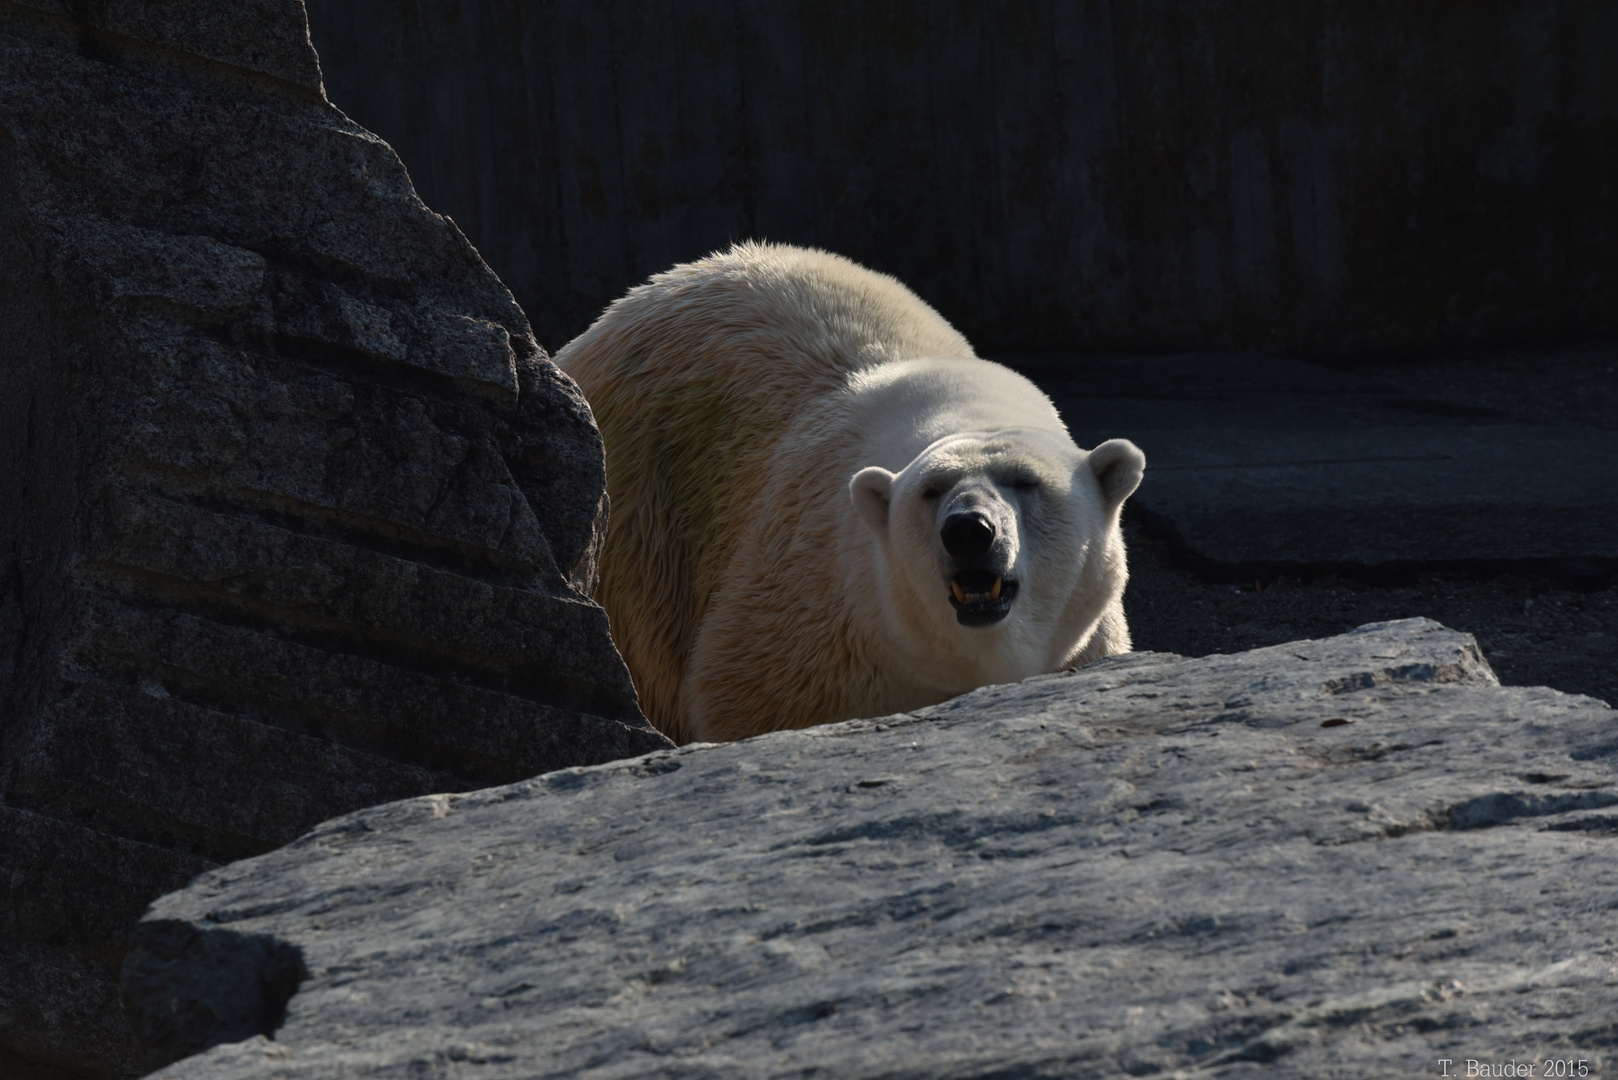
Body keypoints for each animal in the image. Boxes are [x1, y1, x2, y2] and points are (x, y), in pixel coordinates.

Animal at [563, 242, 1145, 744]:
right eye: (930, 491)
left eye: (1026, 482)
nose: (969, 531)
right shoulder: (808, 621)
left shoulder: (1086, 646)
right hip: (641, 516)